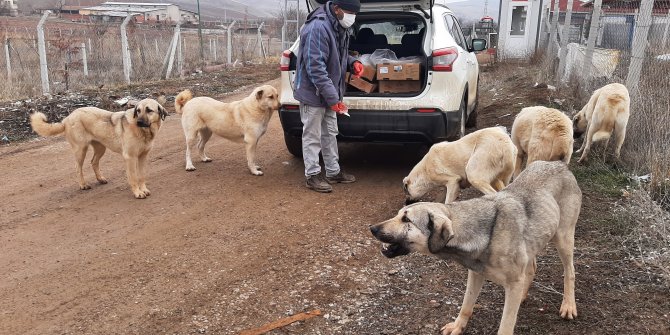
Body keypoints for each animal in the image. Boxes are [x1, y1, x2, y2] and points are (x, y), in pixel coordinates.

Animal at [30, 100, 169, 200]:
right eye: (138, 111)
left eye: (149, 110)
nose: (138, 122)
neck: (144, 132)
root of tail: (67, 118)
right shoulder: (130, 157)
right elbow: (134, 177)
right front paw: (137, 193)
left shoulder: (143, 156)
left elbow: (142, 175)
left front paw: (143, 189)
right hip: (81, 150)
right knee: (78, 167)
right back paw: (83, 185)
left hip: (101, 148)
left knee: (93, 162)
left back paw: (100, 179)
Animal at [370, 161, 584, 334]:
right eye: (398, 215)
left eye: (406, 220)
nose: (372, 228)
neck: (484, 231)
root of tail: (559, 164)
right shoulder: (475, 274)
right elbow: (466, 305)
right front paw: (458, 327)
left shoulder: (513, 283)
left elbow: (506, 326)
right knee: (532, 268)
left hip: (563, 238)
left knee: (570, 271)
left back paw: (568, 305)